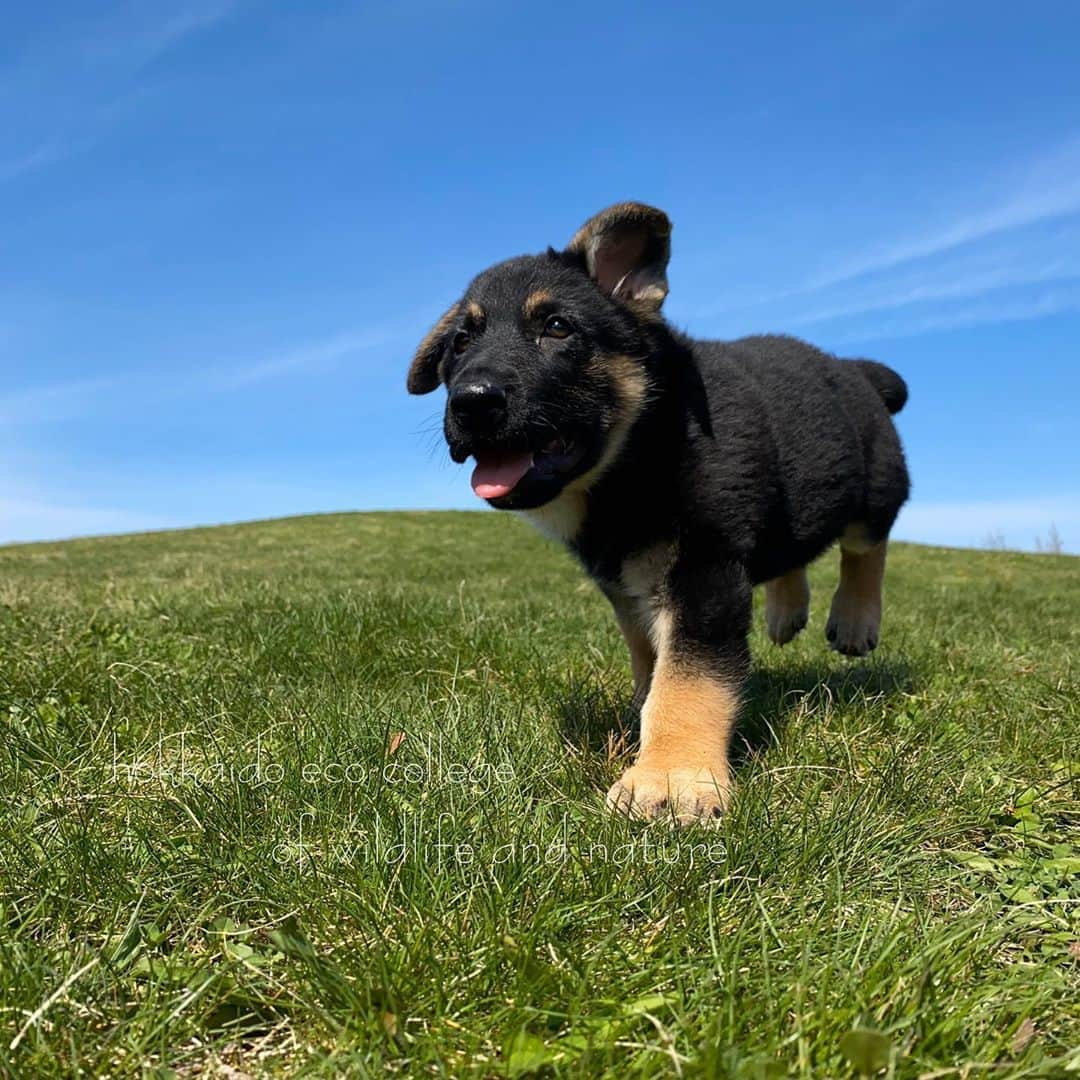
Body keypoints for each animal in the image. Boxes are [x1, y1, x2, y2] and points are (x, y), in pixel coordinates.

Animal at [408, 203, 907, 820]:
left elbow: (687, 682)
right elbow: (652, 665)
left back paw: (856, 619)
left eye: (557, 327)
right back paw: (786, 611)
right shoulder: (629, 589)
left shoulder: (704, 574)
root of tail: (856, 369)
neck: (634, 460)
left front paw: (671, 777)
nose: (471, 403)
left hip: (877, 480)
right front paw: (647, 732)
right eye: (459, 343)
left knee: (867, 543)